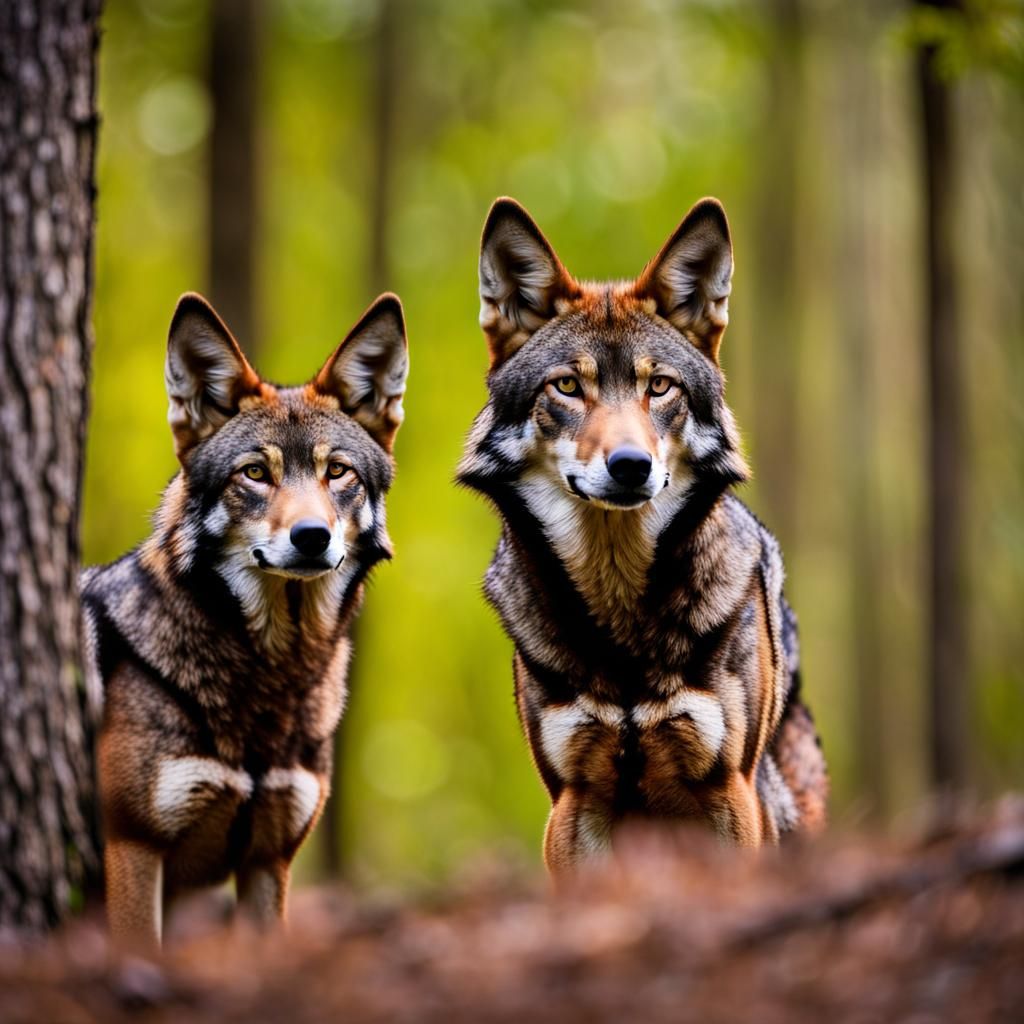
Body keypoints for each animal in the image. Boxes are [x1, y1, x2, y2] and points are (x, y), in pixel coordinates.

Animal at [81, 292, 408, 944]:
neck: (273, 678)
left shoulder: (267, 861)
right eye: (255, 473)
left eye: (338, 472)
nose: (311, 536)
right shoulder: (133, 851)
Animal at [458, 197, 828, 873]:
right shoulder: (574, 802)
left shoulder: (728, 794)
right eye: (567, 386)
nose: (630, 465)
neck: (621, 629)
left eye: (660, 387)